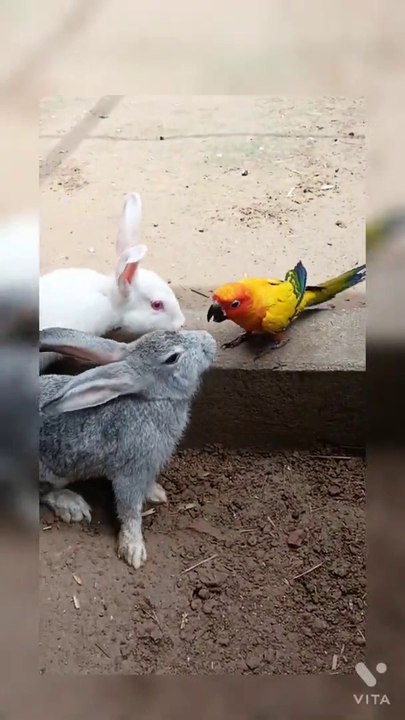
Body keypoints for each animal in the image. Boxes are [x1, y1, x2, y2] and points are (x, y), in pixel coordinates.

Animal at [39, 326, 217, 569]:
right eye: (173, 358)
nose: (210, 340)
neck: (153, 400)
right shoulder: (130, 472)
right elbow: (130, 510)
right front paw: (133, 548)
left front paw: (156, 493)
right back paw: (72, 505)